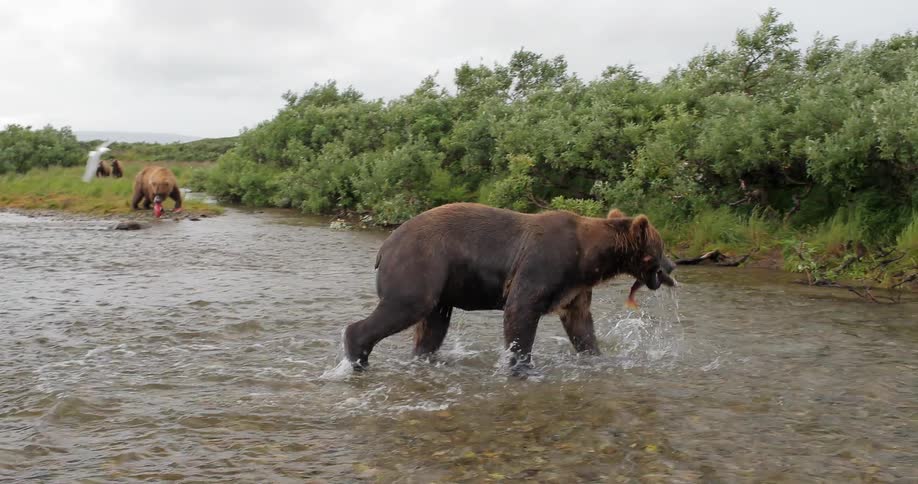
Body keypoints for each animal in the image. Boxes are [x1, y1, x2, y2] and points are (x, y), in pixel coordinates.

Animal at [343, 202, 676, 373]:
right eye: (661, 247)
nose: (673, 267)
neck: (589, 258)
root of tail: (385, 245)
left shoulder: (574, 288)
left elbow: (581, 326)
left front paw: (595, 355)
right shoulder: (543, 264)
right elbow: (521, 312)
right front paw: (521, 366)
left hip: (443, 285)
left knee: (432, 327)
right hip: (421, 264)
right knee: (406, 305)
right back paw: (357, 356)